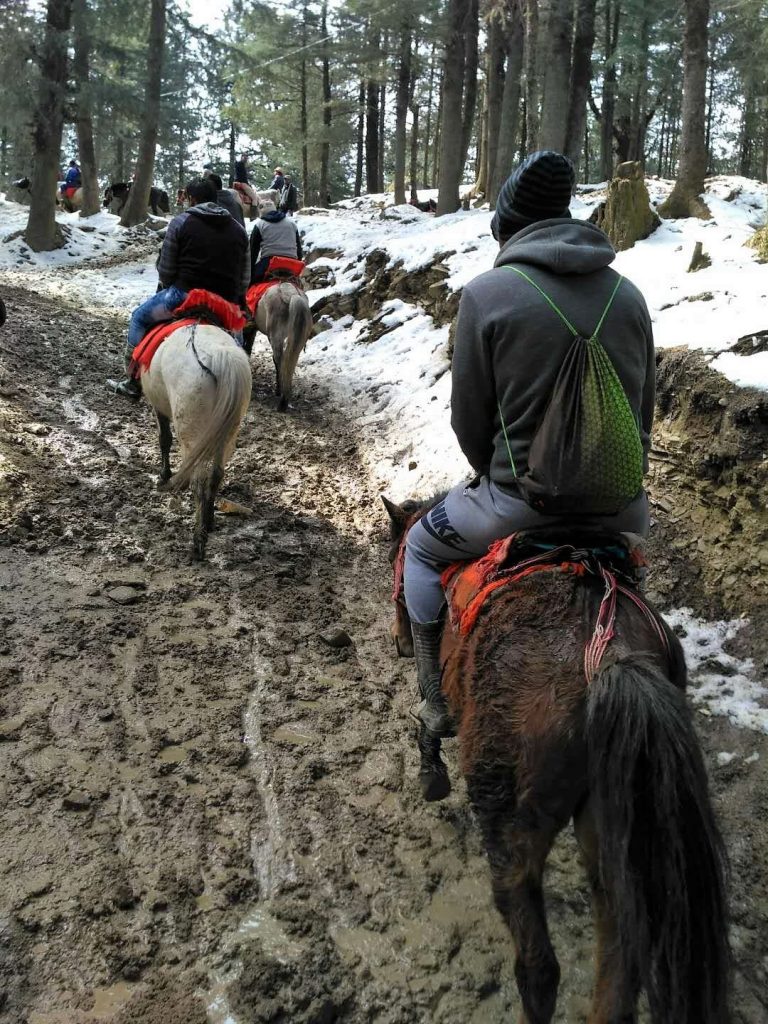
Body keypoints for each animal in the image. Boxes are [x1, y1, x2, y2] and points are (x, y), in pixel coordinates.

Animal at [141, 321, 252, 557]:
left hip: (193, 431)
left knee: (199, 480)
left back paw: (198, 540)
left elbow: (164, 438)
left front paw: (164, 476)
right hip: (226, 433)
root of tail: (221, 356)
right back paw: (208, 522)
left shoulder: (158, 407)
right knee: (216, 474)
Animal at [387, 499, 729, 1024]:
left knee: (539, 966)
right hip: (615, 818)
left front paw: (430, 774)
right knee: (621, 956)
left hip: (510, 812)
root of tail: (607, 656)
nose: (400, 642)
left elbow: (431, 720)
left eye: (396, 564)